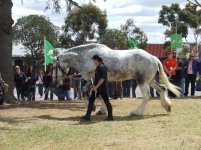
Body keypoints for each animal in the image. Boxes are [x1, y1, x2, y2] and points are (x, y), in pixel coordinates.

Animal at [52, 43, 180, 116]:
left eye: (52, 67)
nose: (54, 82)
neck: (86, 57)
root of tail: (153, 58)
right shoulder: (101, 80)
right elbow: (101, 95)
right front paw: (101, 110)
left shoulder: (91, 78)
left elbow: (85, 92)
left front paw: (93, 107)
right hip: (151, 80)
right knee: (162, 89)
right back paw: (167, 106)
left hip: (142, 81)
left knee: (147, 96)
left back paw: (137, 112)